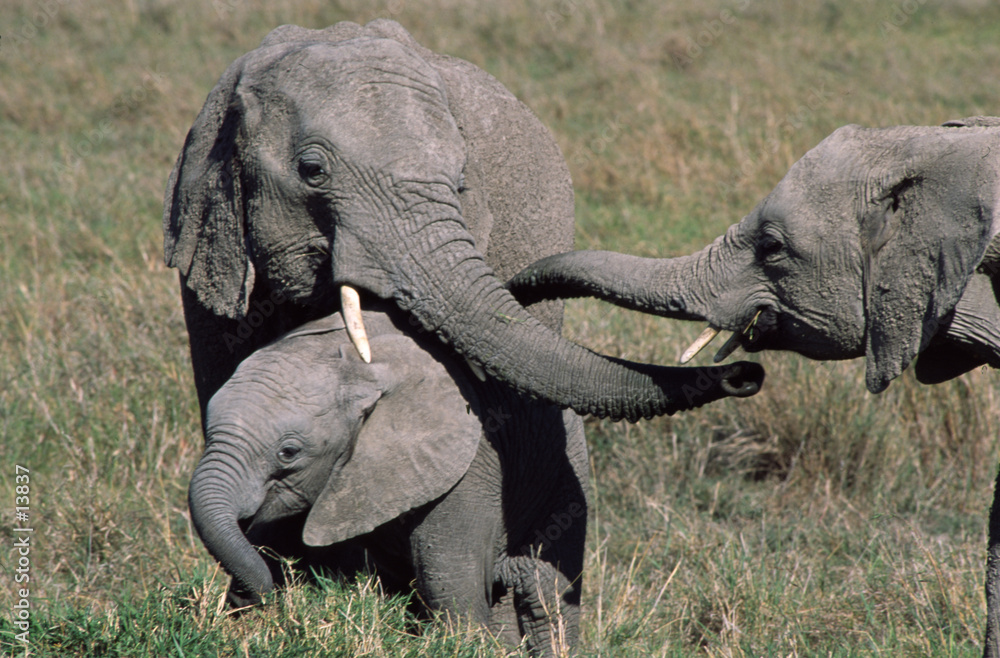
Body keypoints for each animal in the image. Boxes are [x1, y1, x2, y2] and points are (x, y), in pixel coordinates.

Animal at [188, 307, 588, 655]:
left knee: (545, 598)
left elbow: (450, 591)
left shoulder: (468, 469)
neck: (360, 365)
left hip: (562, 477)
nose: (249, 596)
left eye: (288, 452)